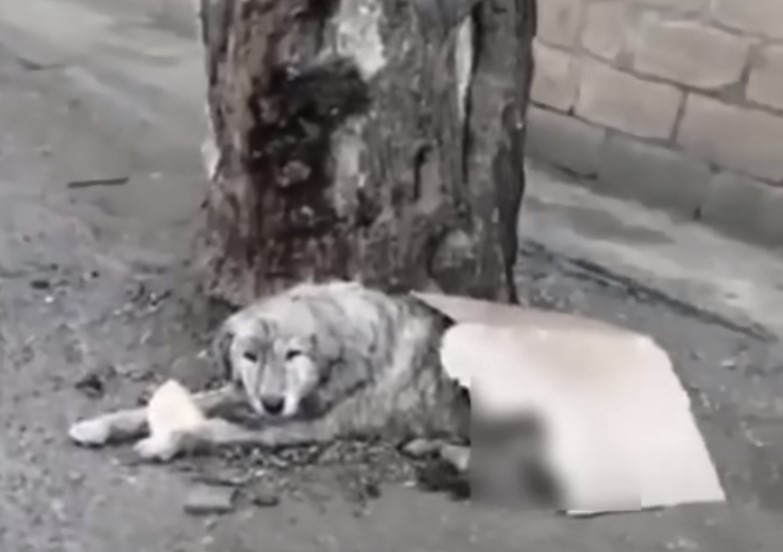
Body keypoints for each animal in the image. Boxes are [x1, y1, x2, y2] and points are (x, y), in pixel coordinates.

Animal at [69, 280, 472, 462]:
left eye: (293, 354)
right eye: (250, 356)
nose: (273, 404)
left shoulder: (301, 427)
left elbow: (212, 427)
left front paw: (165, 441)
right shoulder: (245, 392)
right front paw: (100, 424)